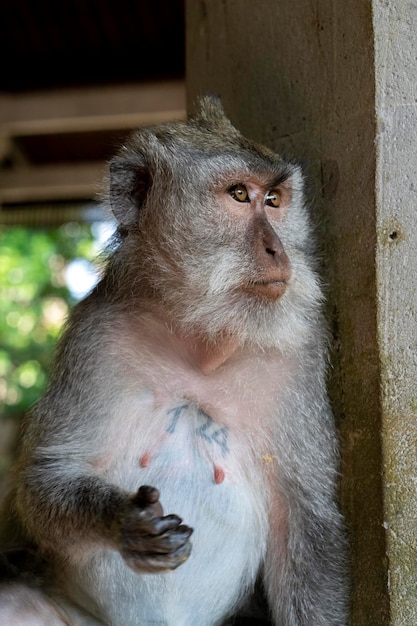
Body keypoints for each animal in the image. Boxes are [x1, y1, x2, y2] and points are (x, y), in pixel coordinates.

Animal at [0, 95, 346, 620]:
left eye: (274, 199)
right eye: (239, 194)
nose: (277, 250)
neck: (201, 341)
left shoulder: (300, 353)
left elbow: (307, 519)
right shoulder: (95, 336)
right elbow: (46, 476)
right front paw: (121, 519)